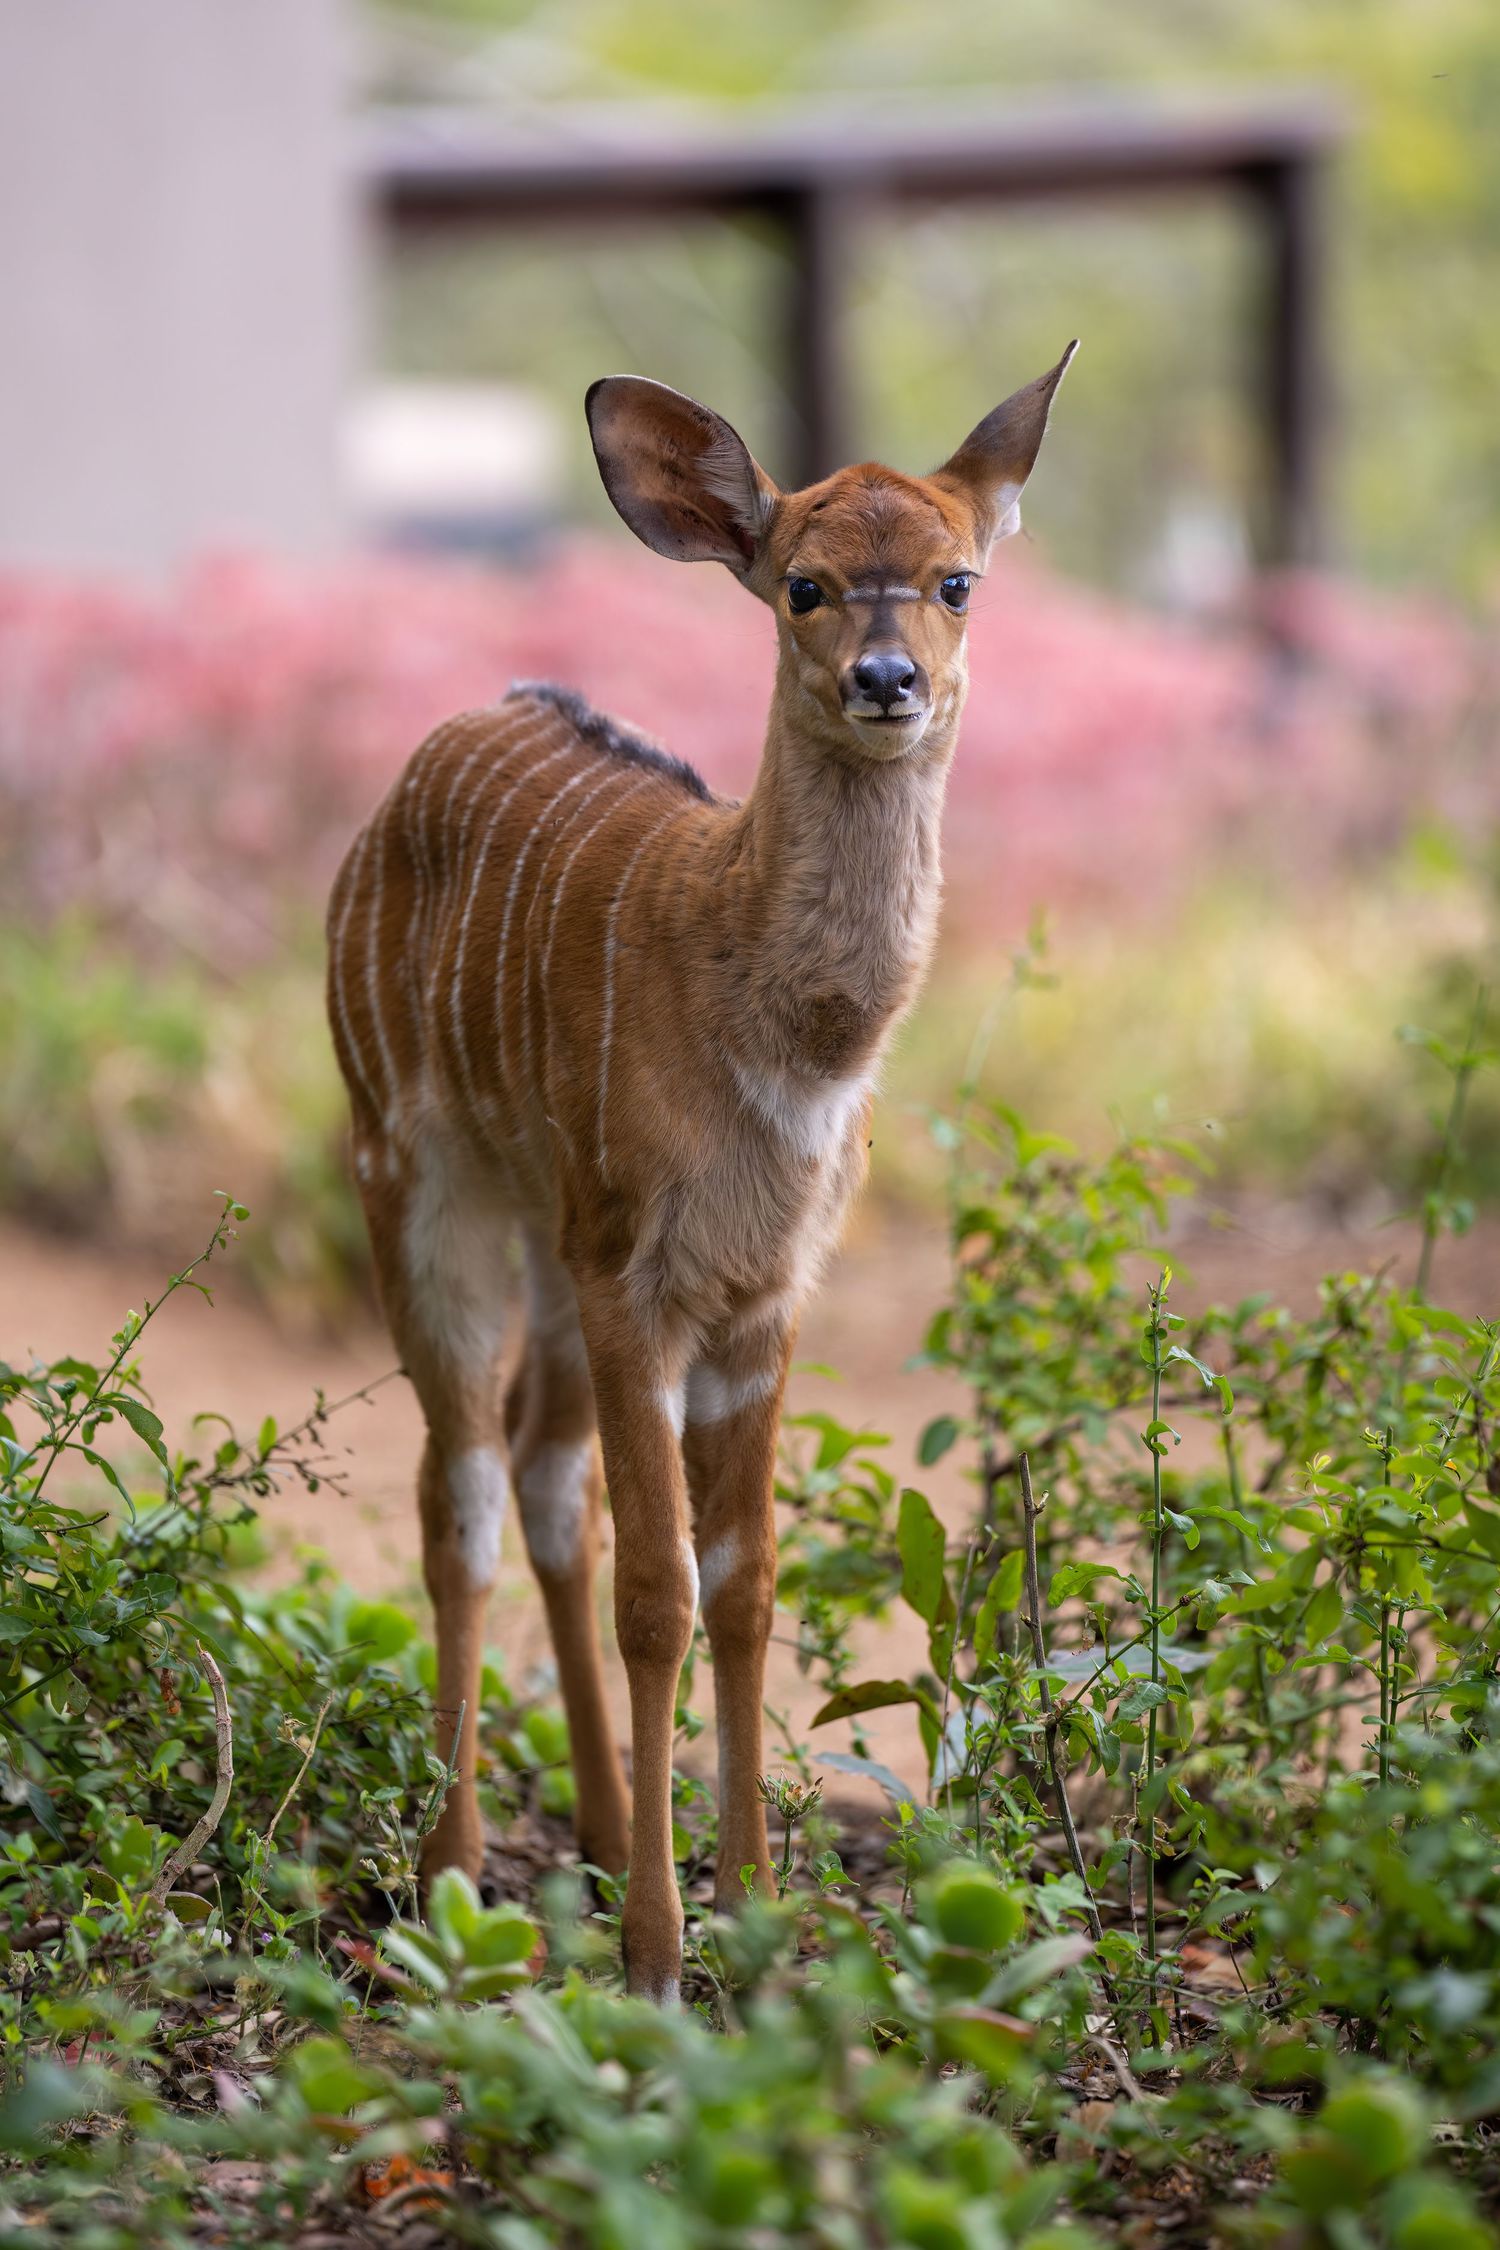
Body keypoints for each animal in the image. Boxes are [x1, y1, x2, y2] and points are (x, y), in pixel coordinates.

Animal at [326, 348, 1075, 2001]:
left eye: (956, 580)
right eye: (803, 583)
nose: (887, 678)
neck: (782, 1046)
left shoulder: (757, 1297)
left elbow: (745, 1583)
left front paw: (755, 1924)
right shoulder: (641, 1279)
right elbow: (658, 1591)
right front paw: (664, 1961)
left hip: (546, 1228)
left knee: (540, 1474)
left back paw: (602, 1833)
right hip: (419, 1178)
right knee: (462, 1488)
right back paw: (455, 1878)